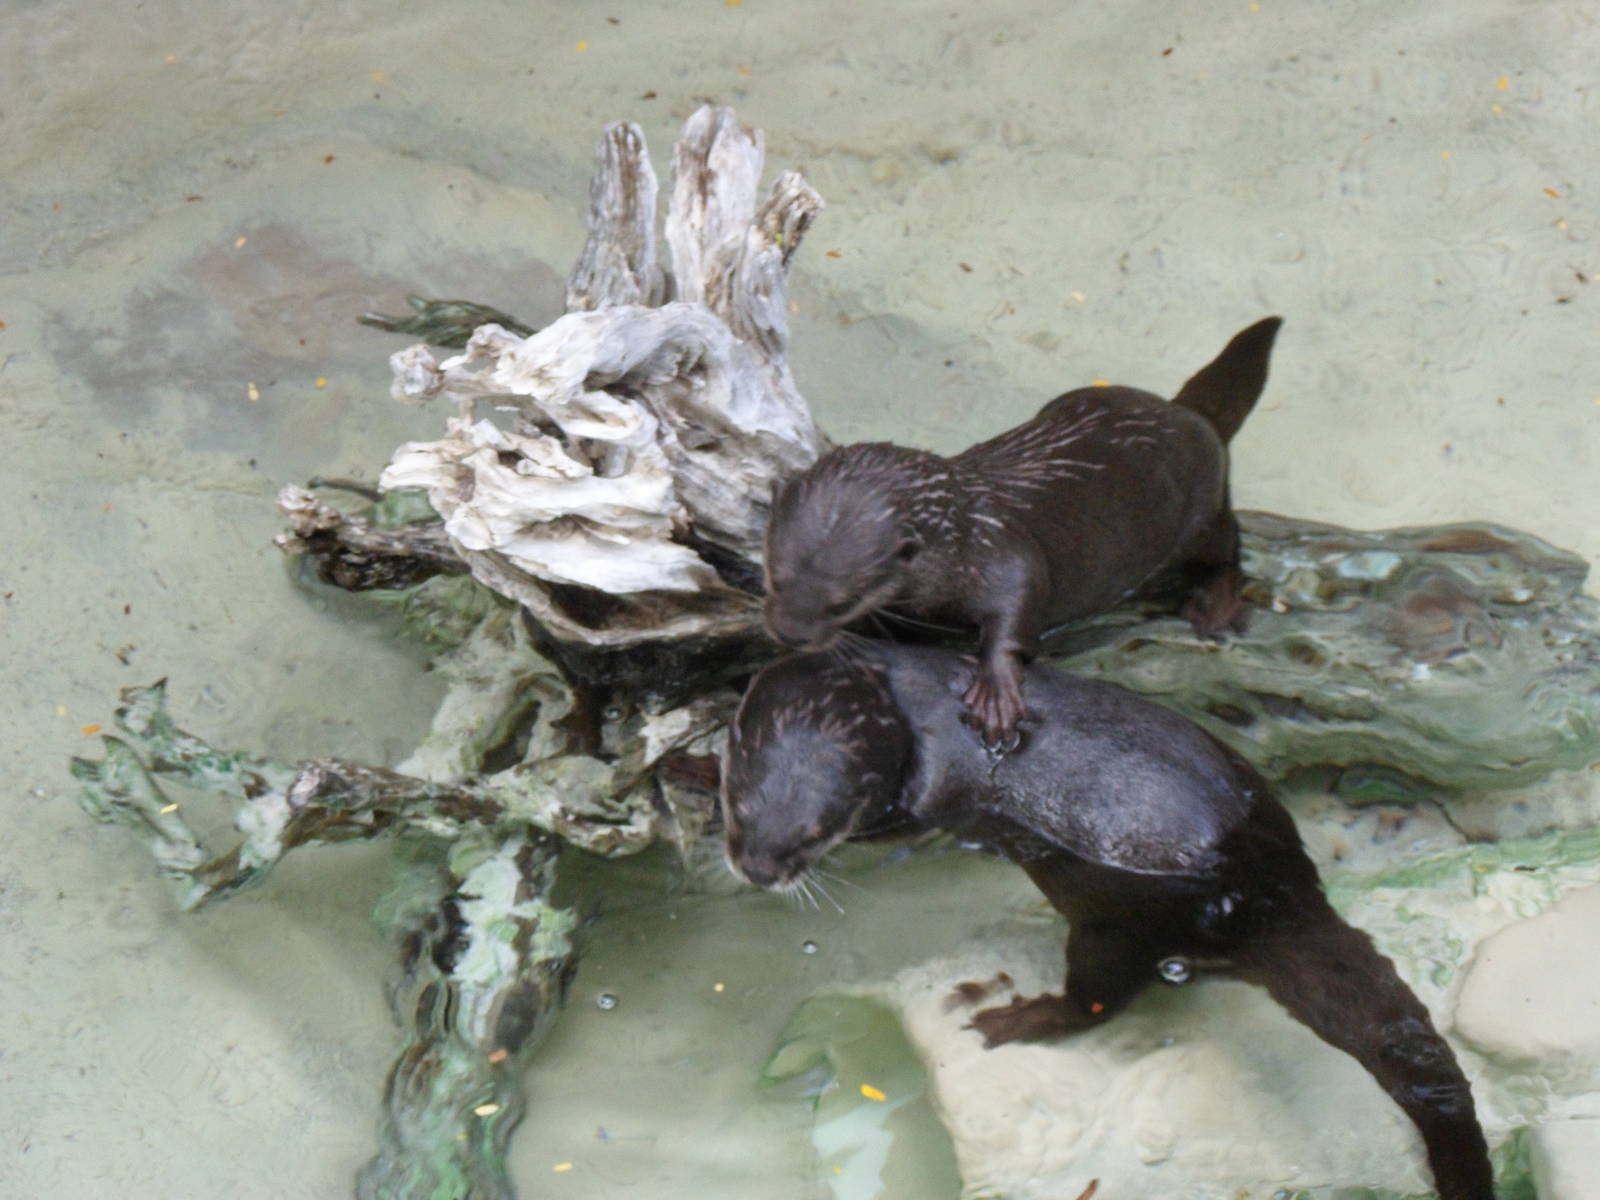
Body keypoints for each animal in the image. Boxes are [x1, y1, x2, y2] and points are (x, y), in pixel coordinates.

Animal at [722, 645, 1495, 1200]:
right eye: (744, 802)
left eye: (818, 828)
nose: (758, 867)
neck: (910, 702)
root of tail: (1267, 892)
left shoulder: (927, 794)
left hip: (1116, 925)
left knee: (1100, 996)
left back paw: (1017, 1016)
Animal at [762, 317, 1283, 747]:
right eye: (774, 578)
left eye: (841, 601)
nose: (788, 633)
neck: (964, 541)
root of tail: (1189, 415)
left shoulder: (1007, 557)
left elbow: (1017, 612)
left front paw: (996, 696)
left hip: (1203, 510)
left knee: (1228, 548)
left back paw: (1215, 606)